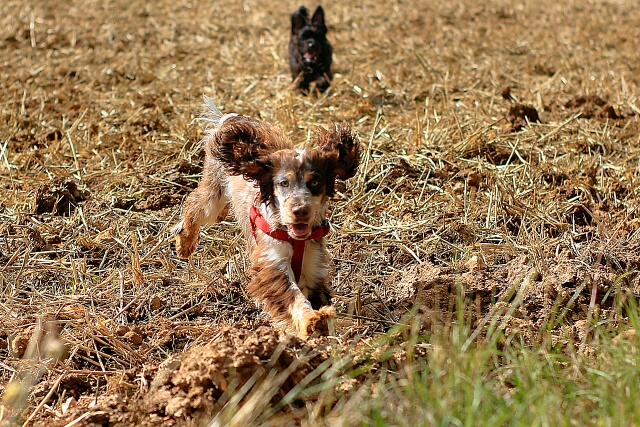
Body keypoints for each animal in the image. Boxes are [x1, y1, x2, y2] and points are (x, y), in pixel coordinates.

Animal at [174, 97, 360, 338]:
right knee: (195, 206)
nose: (300, 210)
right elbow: (293, 297)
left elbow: (313, 294)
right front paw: (311, 320)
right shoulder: (272, 263)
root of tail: (232, 118)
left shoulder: (313, 265)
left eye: (315, 182)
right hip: (213, 190)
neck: (295, 239)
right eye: (284, 183)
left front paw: (322, 319)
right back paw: (185, 244)